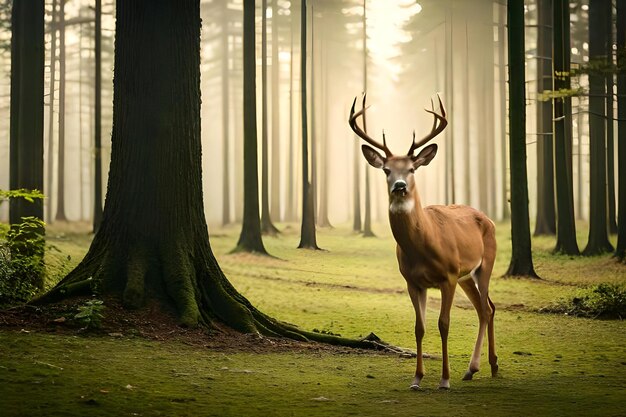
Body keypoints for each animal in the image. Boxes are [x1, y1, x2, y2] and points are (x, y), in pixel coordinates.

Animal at [346, 94, 498, 390]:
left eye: (412, 169)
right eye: (386, 170)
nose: (400, 186)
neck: (424, 246)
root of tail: (487, 218)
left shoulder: (448, 275)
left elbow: (444, 324)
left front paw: (444, 380)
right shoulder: (412, 280)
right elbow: (420, 327)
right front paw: (416, 378)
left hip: (485, 263)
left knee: (487, 308)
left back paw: (484, 367)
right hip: (466, 275)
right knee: (485, 308)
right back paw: (477, 368)